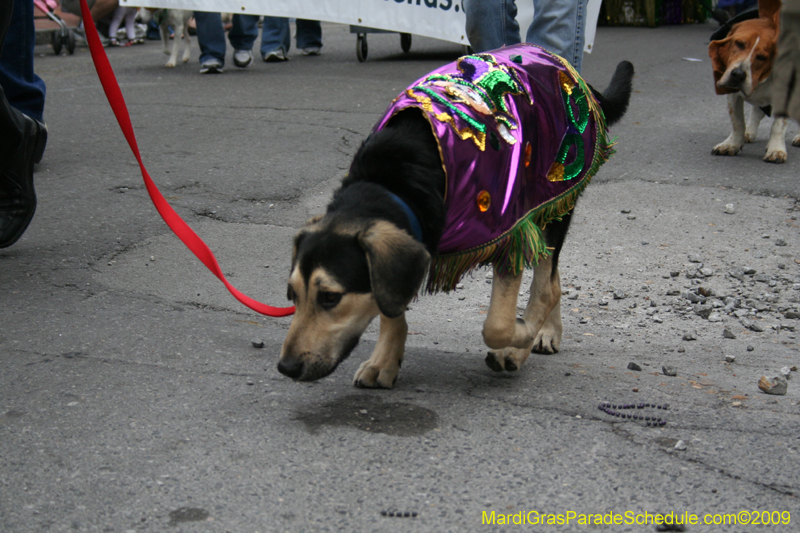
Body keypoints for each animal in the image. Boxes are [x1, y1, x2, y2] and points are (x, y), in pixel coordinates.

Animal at [708, 0, 796, 162]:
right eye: (739, 44)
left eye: (762, 57)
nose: (738, 74)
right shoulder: (733, 95)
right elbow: (737, 122)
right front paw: (732, 144)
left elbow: (778, 125)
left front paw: (776, 149)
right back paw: (749, 132)